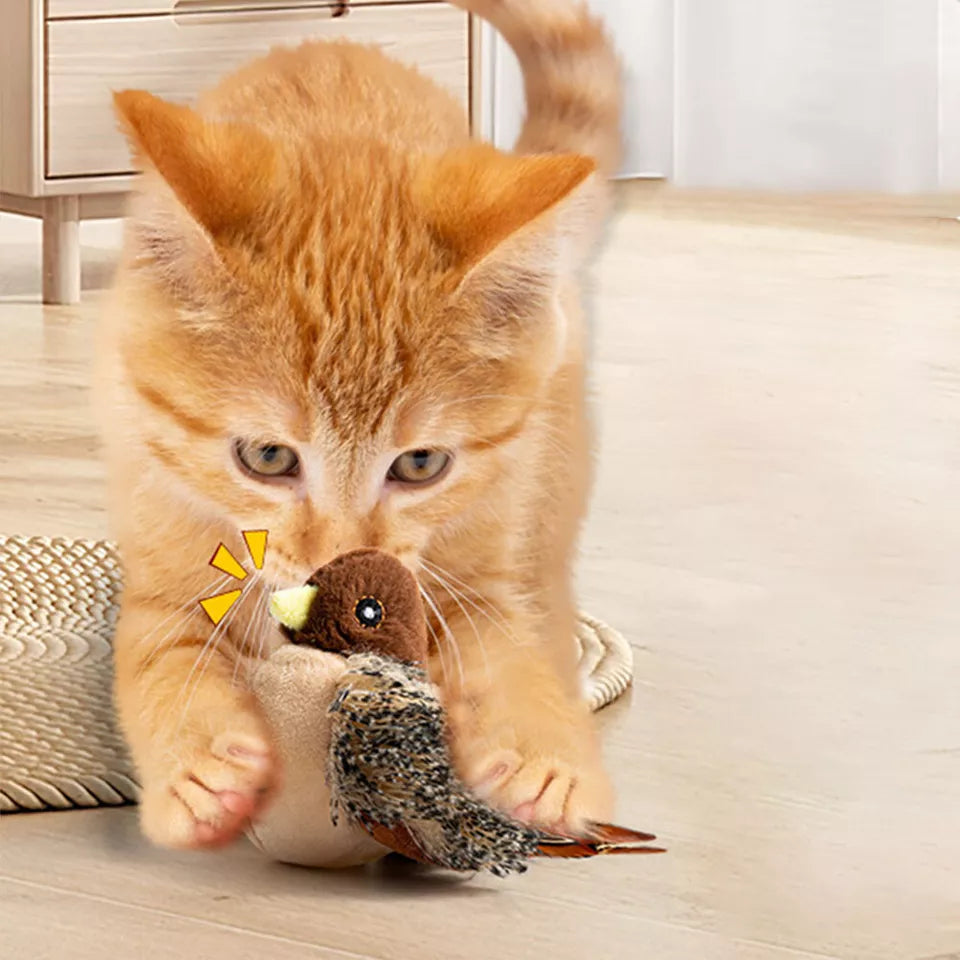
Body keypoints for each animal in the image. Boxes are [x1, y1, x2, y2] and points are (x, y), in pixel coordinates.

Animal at [97, 1, 624, 856]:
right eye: (267, 456)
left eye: (420, 466)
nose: (340, 569)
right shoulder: (153, 510)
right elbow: (160, 650)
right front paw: (202, 764)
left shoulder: (486, 557)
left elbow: (504, 642)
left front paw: (540, 755)